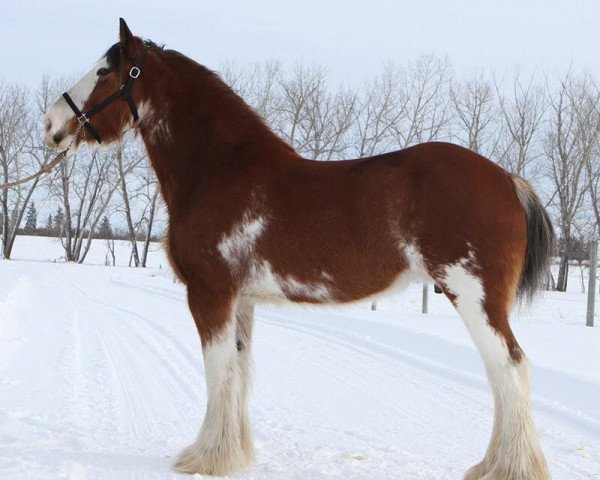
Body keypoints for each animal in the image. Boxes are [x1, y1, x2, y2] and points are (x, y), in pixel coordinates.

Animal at [45, 18, 552, 480]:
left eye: (105, 70)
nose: (51, 125)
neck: (219, 170)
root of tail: (508, 179)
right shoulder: (241, 300)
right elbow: (239, 372)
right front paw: (235, 455)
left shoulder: (210, 294)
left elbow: (217, 372)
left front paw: (205, 459)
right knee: (504, 373)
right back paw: (489, 466)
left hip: (474, 296)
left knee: (510, 369)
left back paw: (508, 468)